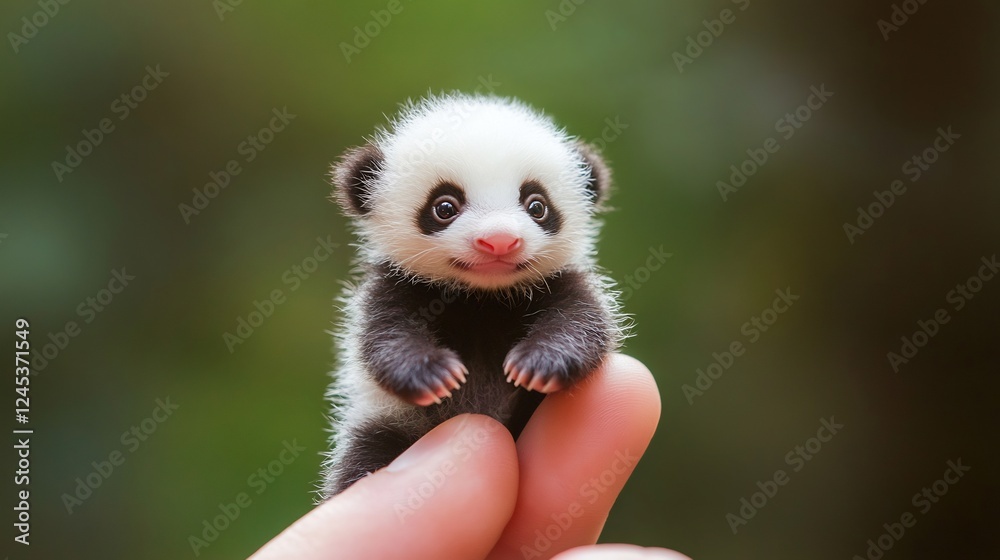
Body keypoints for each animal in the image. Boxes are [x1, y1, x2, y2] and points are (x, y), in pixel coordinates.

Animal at [320, 93, 627, 498]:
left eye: (537, 205)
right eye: (444, 207)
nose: (499, 240)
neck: (482, 297)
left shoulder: (561, 281)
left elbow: (583, 323)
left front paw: (540, 363)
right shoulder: (393, 287)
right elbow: (383, 337)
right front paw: (431, 373)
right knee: (367, 450)